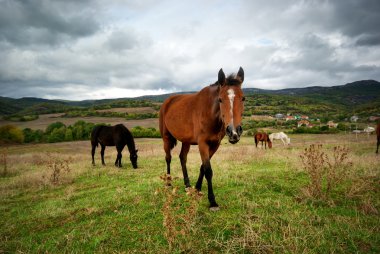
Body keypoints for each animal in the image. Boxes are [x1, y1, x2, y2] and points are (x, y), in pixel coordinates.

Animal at [159, 66, 245, 209]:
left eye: (243, 98)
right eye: (220, 99)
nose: (234, 132)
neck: (210, 112)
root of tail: (167, 101)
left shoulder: (215, 144)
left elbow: (203, 167)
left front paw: (197, 188)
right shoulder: (202, 143)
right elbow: (208, 170)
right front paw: (212, 202)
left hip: (186, 141)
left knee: (182, 158)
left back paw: (187, 185)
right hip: (166, 138)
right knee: (168, 158)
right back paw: (168, 183)